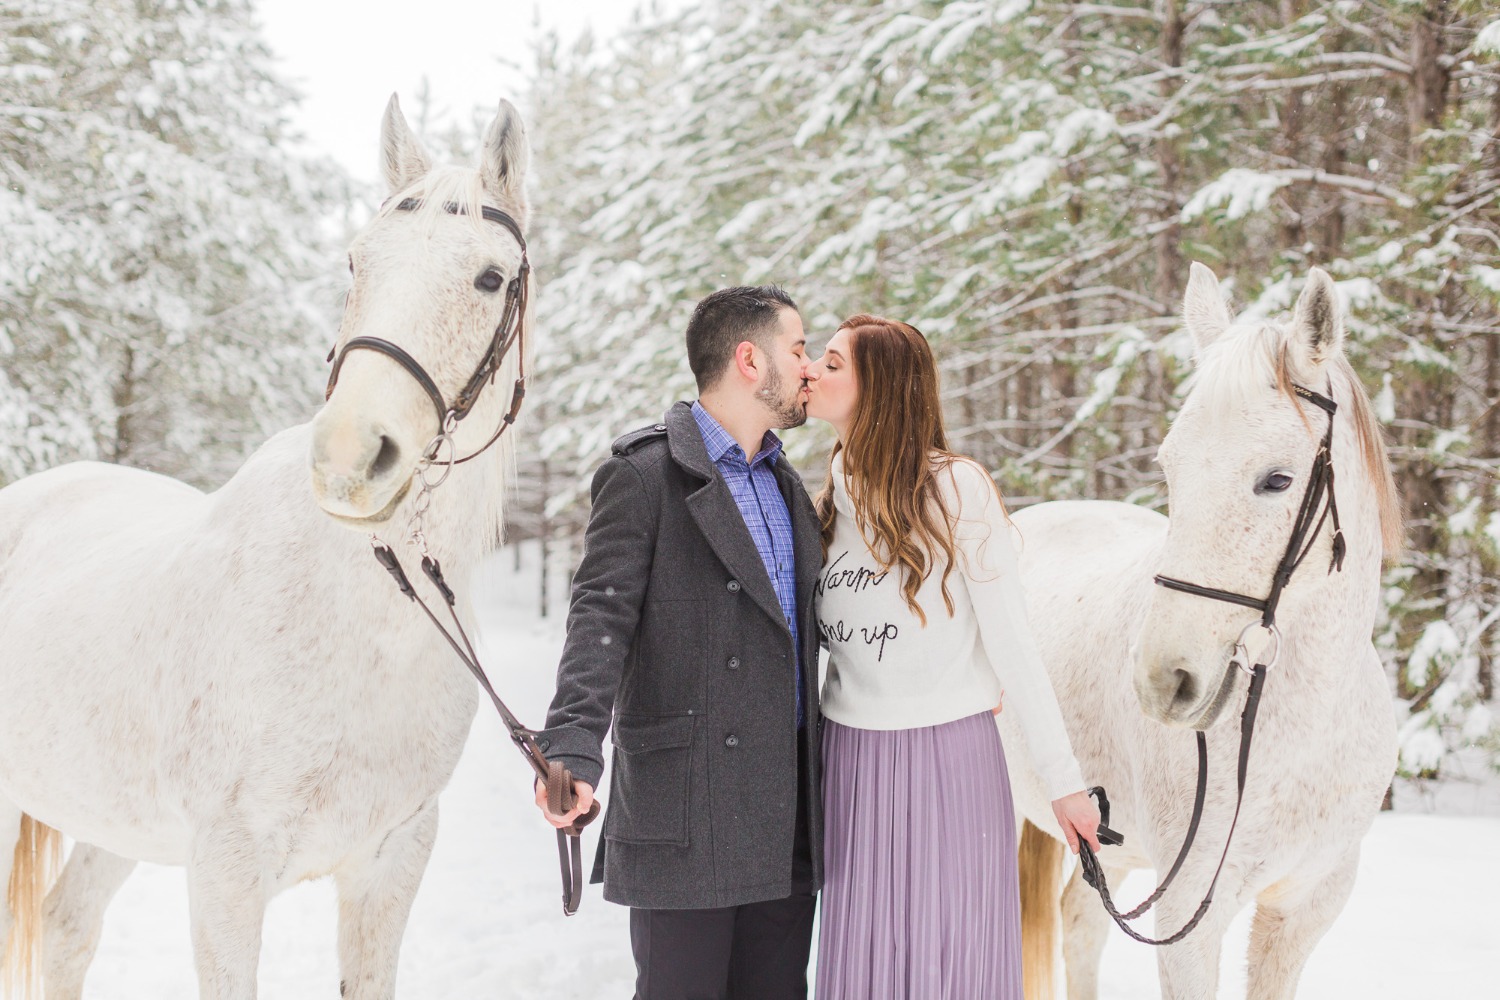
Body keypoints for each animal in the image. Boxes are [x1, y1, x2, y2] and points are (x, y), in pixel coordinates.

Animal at [0, 95, 534, 1000]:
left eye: (490, 278)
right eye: (356, 261)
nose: (350, 457)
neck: (360, 628)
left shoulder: (389, 867)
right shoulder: (226, 876)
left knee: (67, 929)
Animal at [1008, 265, 1404, 1000]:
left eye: (1277, 480)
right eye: (1171, 467)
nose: (1162, 681)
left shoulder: (1304, 907)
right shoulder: (1189, 917)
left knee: (1080, 925)